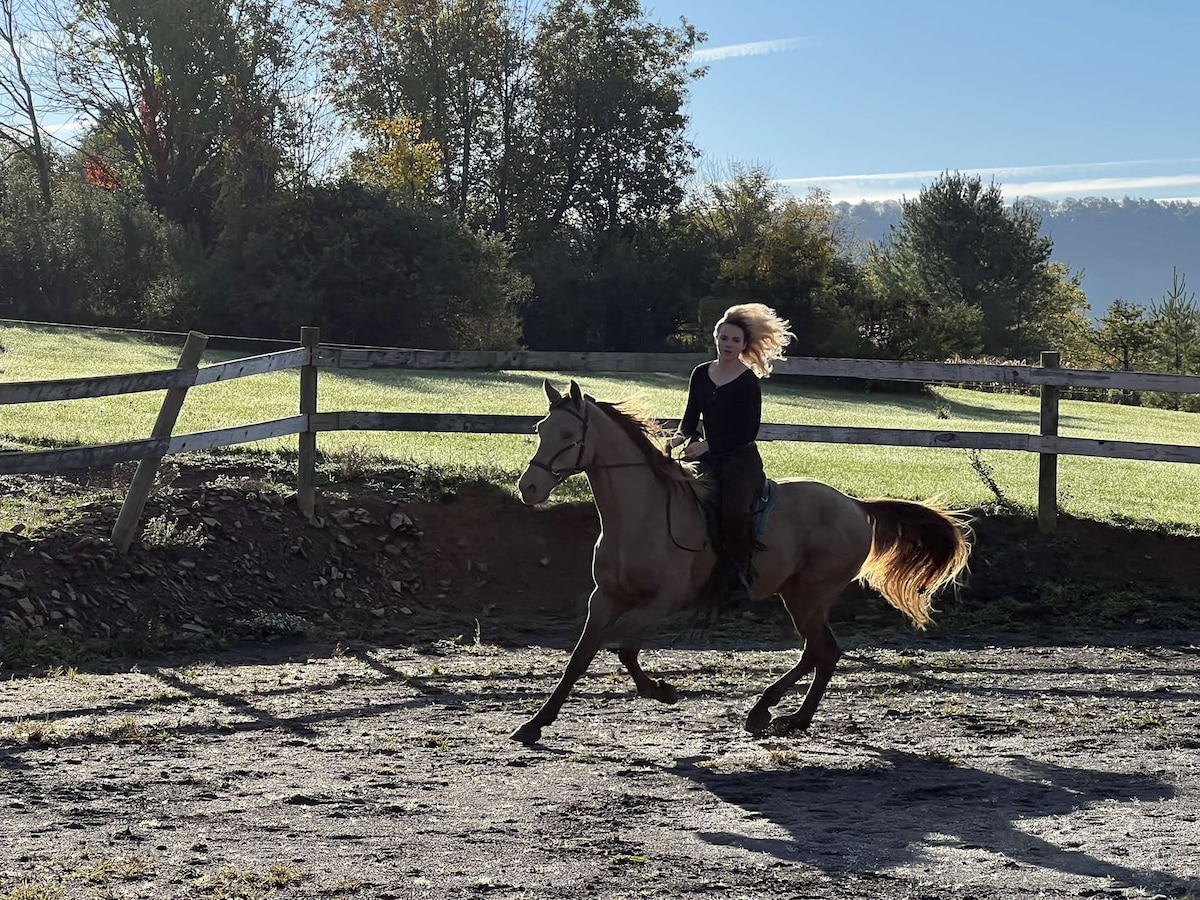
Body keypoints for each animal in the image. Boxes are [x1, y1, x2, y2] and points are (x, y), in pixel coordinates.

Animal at [511, 381, 969, 748]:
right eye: (540, 430)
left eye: (568, 434)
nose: (528, 488)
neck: (640, 515)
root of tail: (856, 505)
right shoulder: (604, 599)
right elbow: (580, 658)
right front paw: (534, 724)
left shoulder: (664, 600)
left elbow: (623, 649)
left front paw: (664, 691)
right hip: (798, 595)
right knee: (819, 651)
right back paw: (777, 714)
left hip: (811, 594)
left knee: (824, 651)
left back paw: (780, 714)